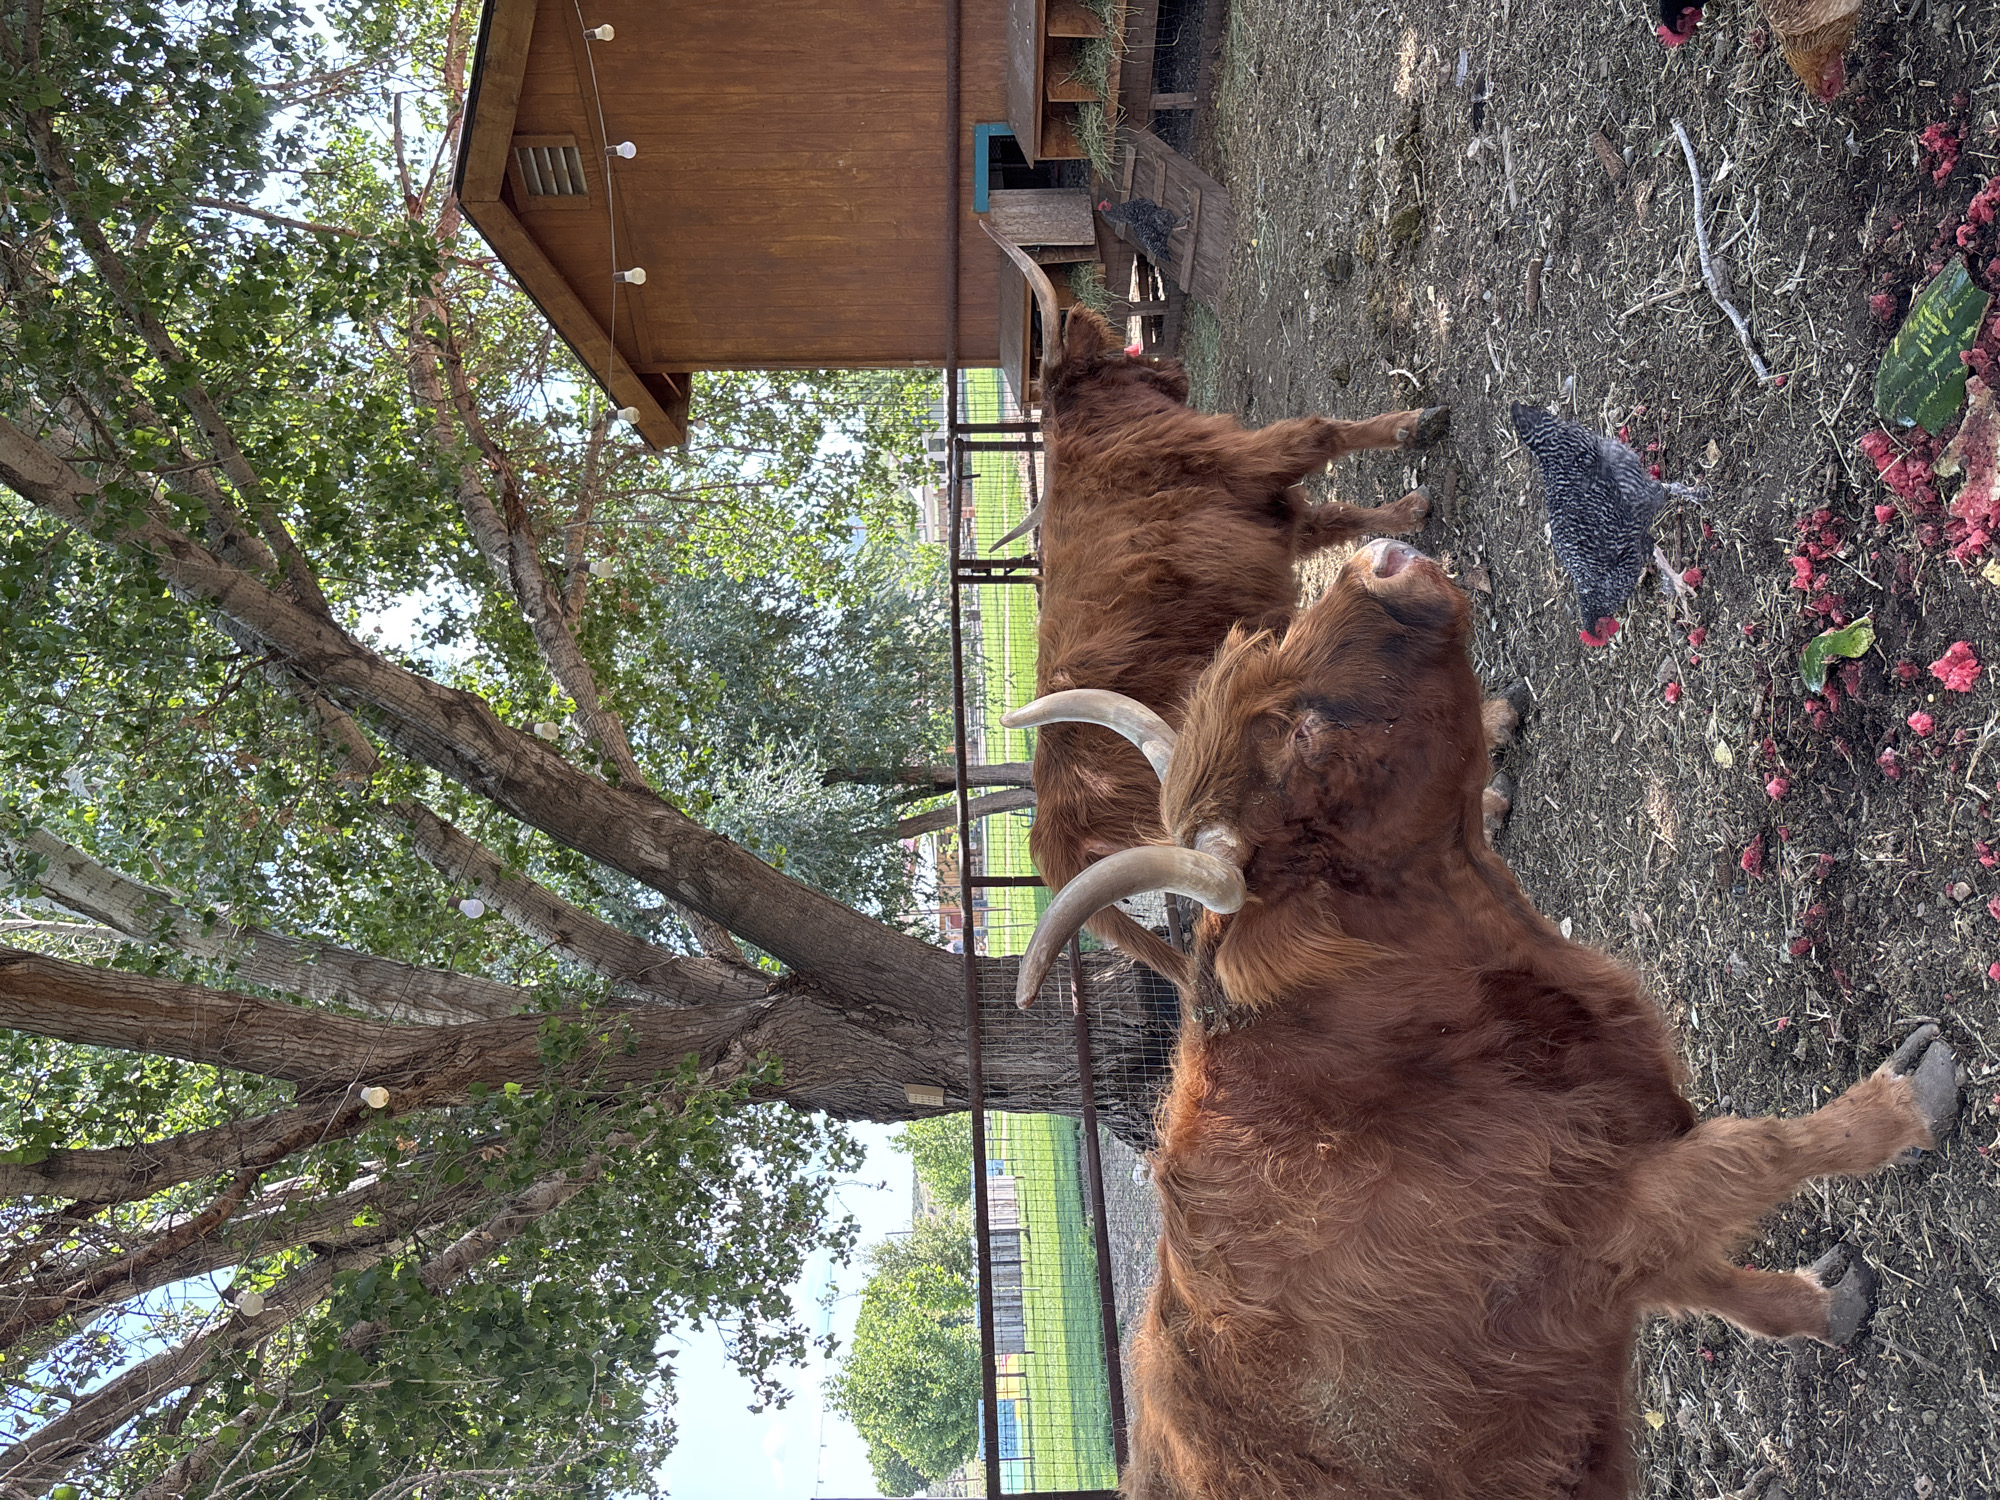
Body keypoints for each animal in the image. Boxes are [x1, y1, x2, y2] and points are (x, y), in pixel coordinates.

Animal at [1012, 538, 1961, 1498]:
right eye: (1305, 743)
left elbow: (1715, 1282)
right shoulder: (1602, 1216)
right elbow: (1763, 1151)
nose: (1381, 559)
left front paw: (1830, 1304)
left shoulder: (1617, 1241)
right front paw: (1912, 1094)